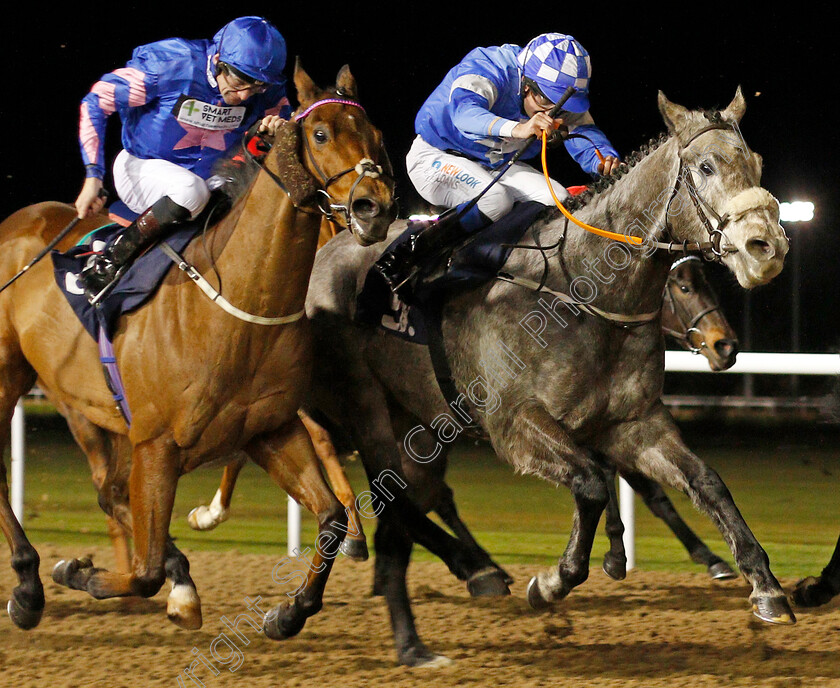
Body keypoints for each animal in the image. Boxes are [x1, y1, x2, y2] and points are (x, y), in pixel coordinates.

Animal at [0, 61, 398, 636]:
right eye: (321, 134)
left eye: (377, 136)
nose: (375, 208)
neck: (237, 307)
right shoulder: (156, 444)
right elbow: (142, 570)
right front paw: (80, 573)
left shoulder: (271, 429)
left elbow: (329, 519)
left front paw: (288, 611)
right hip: (19, 379)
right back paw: (30, 585)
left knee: (110, 492)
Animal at [304, 88, 796, 664]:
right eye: (706, 166)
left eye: (756, 164)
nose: (767, 247)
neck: (582, 290)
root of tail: (328, 250)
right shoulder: (515, 425)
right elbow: (591, 485)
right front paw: (554, 580)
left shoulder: (634, 423)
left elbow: (706, 483)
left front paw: (766, 587)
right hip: (360, 411)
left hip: (416, 423)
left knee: (408, 505)